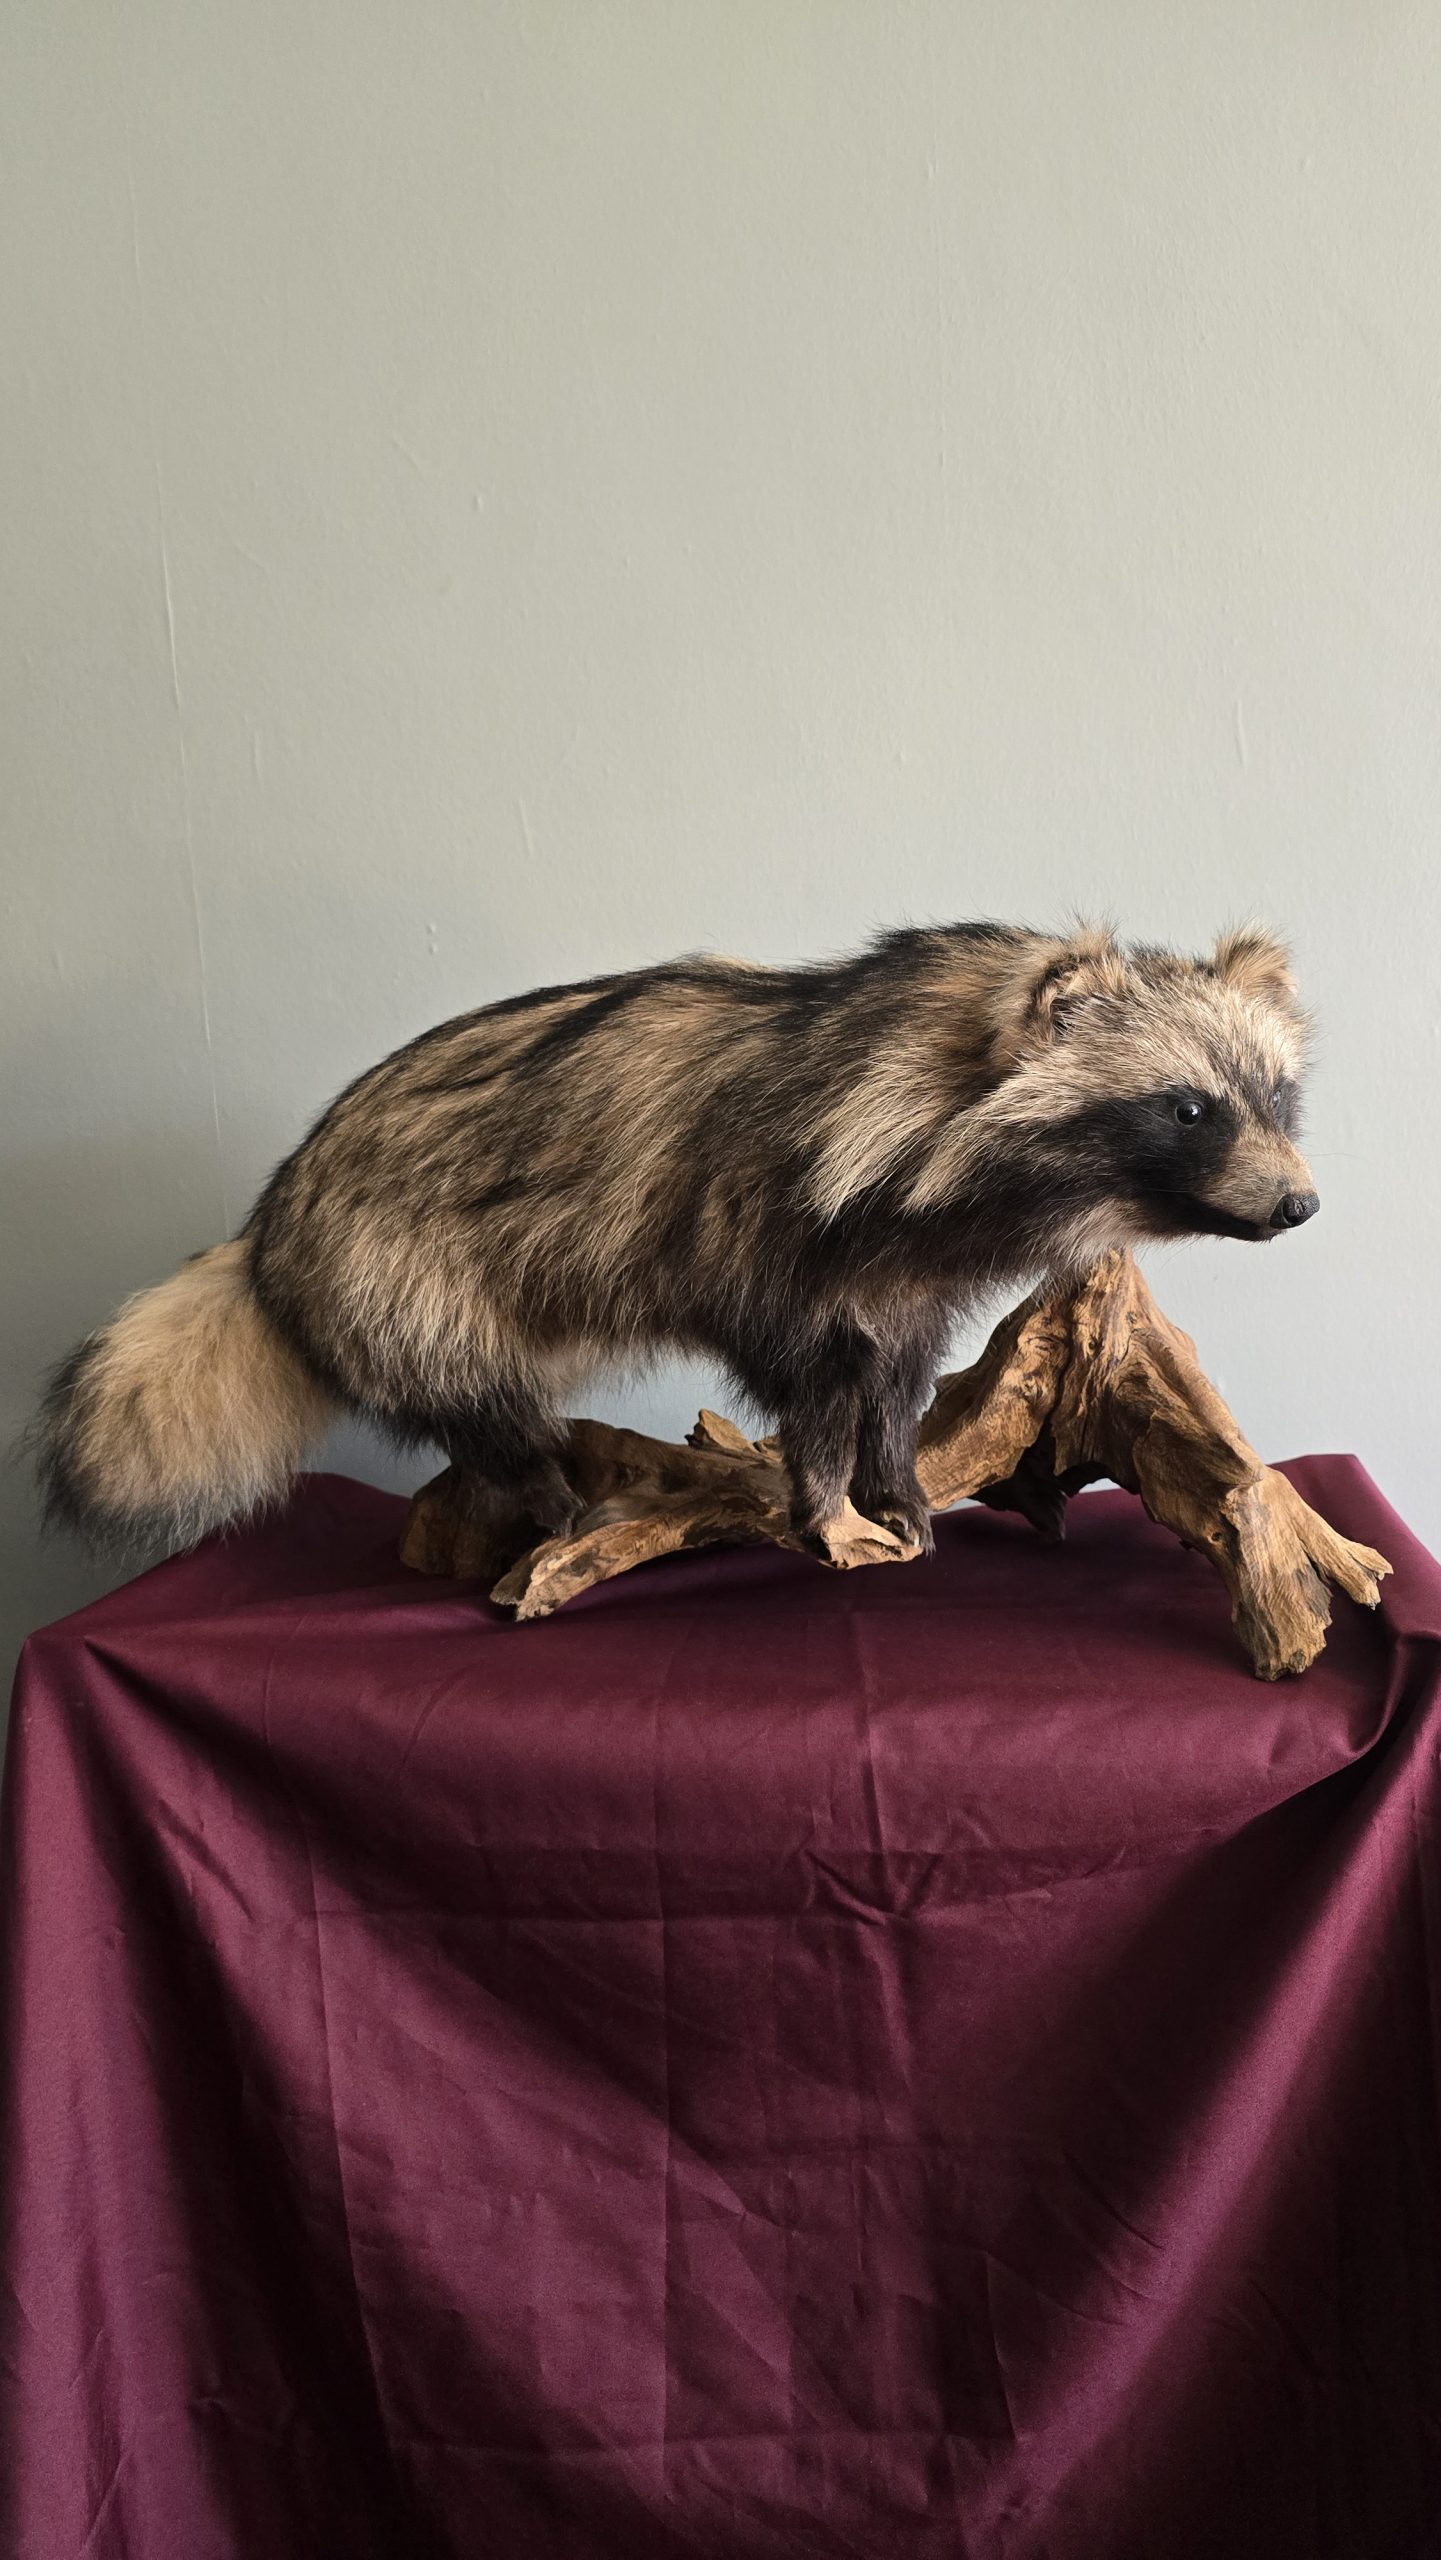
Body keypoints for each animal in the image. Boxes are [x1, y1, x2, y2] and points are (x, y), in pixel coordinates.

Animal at [34, 920, 1316, 1564]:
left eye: (1277, 1097)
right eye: (1187, 1107)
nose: (1300, 1206)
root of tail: (265, 1231)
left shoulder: (908, 1280)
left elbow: (892, 1386)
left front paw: (897, 1483)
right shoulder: (770, 1237)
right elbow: (808, 1391)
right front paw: (829, 1509)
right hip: (401, 1273)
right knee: (481, 1405)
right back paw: (553, 1501)